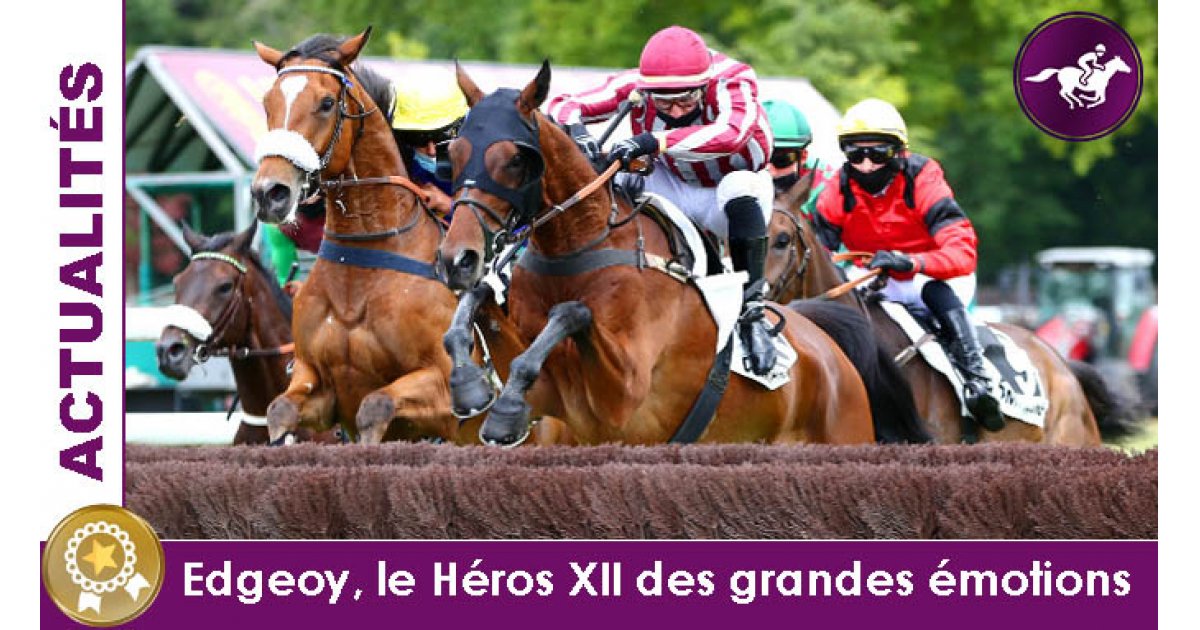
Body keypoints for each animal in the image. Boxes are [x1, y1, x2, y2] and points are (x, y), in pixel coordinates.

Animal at [249, 28, 463, 444]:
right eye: (267, 103)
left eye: (327, 102)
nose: (270, 193)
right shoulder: (317, 382)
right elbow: (280, 409)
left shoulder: (447, 390)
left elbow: (375, 406)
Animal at [438, 61, 876, 447]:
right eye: (453, 153)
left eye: (516, 159)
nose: (457, 259)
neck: (580, 245)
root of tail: (830, 351)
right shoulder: (553, 399)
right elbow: (478, 302)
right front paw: (470, 389)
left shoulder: (625, 396)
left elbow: (571, 312)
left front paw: (502, 411)